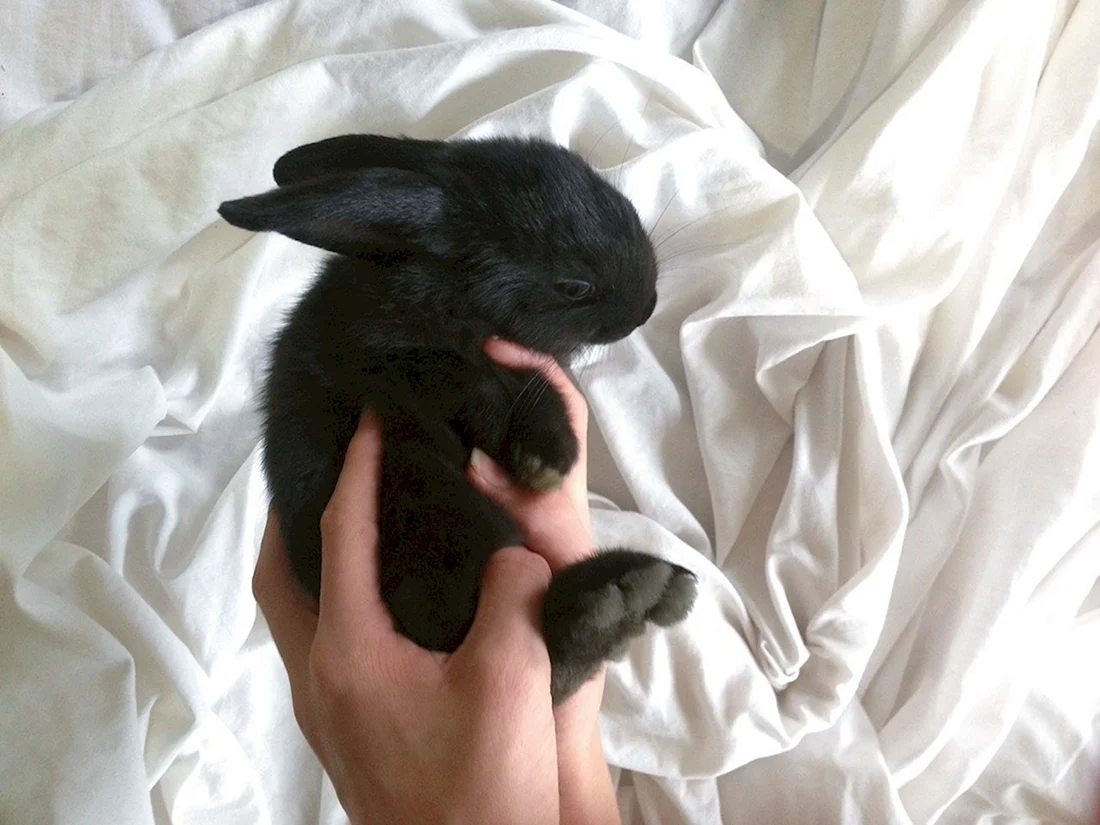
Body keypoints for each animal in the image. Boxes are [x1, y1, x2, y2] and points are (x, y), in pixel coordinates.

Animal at [219, 134, 697, 704]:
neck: (451, 290)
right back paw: (617, 597)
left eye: (620, 202)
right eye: (574, 286)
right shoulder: (403, 360)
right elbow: (489, 387)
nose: (646, 308)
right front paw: (548, 457)